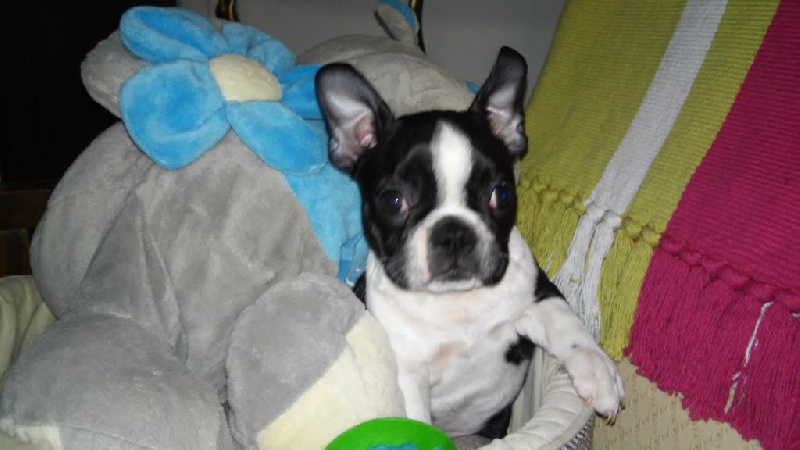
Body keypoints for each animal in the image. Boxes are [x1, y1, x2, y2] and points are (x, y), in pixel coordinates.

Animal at [315, 46, 624, 439]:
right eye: (393, 202)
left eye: (502, 194)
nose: (454, 232)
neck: (457, 303)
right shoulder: (407, 373)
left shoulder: (537, 291)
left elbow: (566, 322)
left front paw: (598, 370)